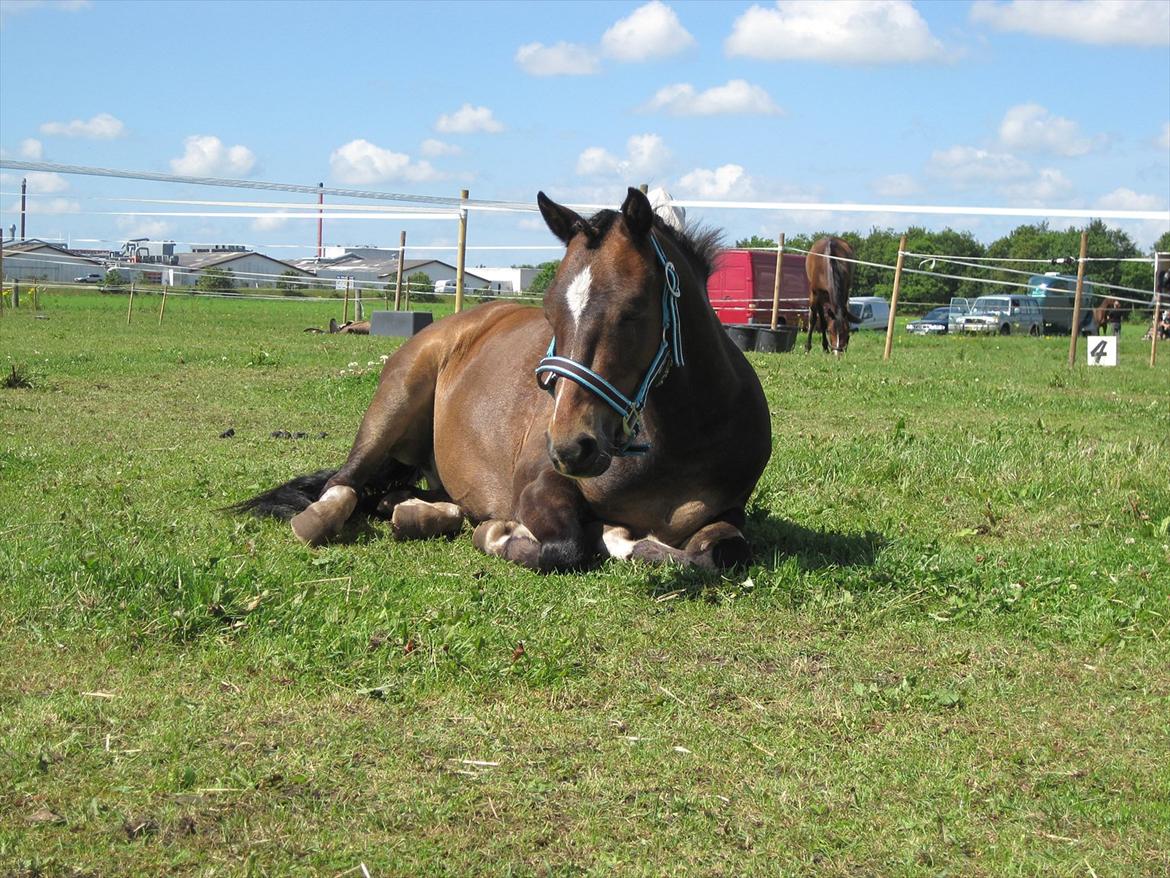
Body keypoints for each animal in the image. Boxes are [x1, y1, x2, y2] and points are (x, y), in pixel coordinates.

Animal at [232, 189, 772, 573]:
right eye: (551, 310)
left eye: (633, 310)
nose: (572, 446)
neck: (677, 439)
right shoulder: (539, 484)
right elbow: (567, 545)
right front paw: (504, 535)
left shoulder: (728, 515)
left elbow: (718, 557)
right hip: (393, 404)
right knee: (342, 486)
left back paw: (418, 512)